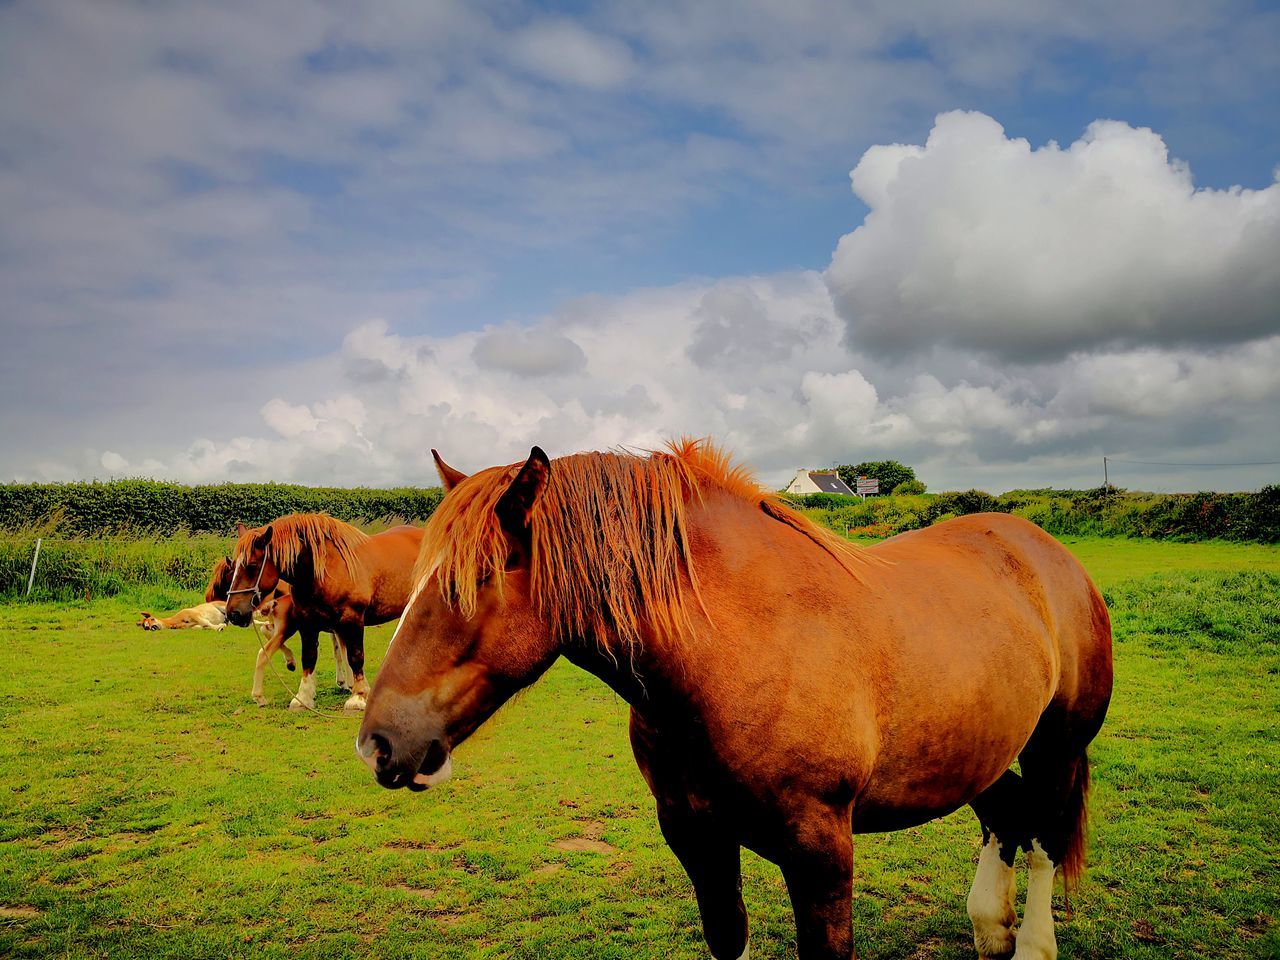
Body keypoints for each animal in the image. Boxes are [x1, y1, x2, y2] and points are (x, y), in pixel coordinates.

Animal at [353, 442, 1111, 960]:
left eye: (477, 576)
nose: (379, 743)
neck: (742, 651)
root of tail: (1042, 549)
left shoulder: (821, 851)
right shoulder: (696, 837)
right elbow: (728, 936)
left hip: (1056, 748)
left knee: (1044, 834)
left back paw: (1031, 944)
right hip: (981, 749)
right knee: (1005, 816)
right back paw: (990, 929)